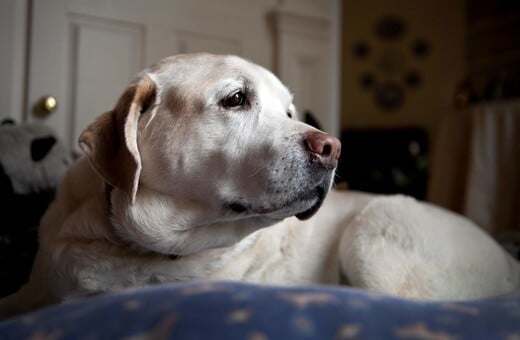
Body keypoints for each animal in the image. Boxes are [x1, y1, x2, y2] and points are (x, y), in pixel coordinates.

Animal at [2, 53, 516, 318]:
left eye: (289, 111)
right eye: (235, 99)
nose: (333, 148)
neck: (134, 249)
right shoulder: (35, 292)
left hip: (374, 228)